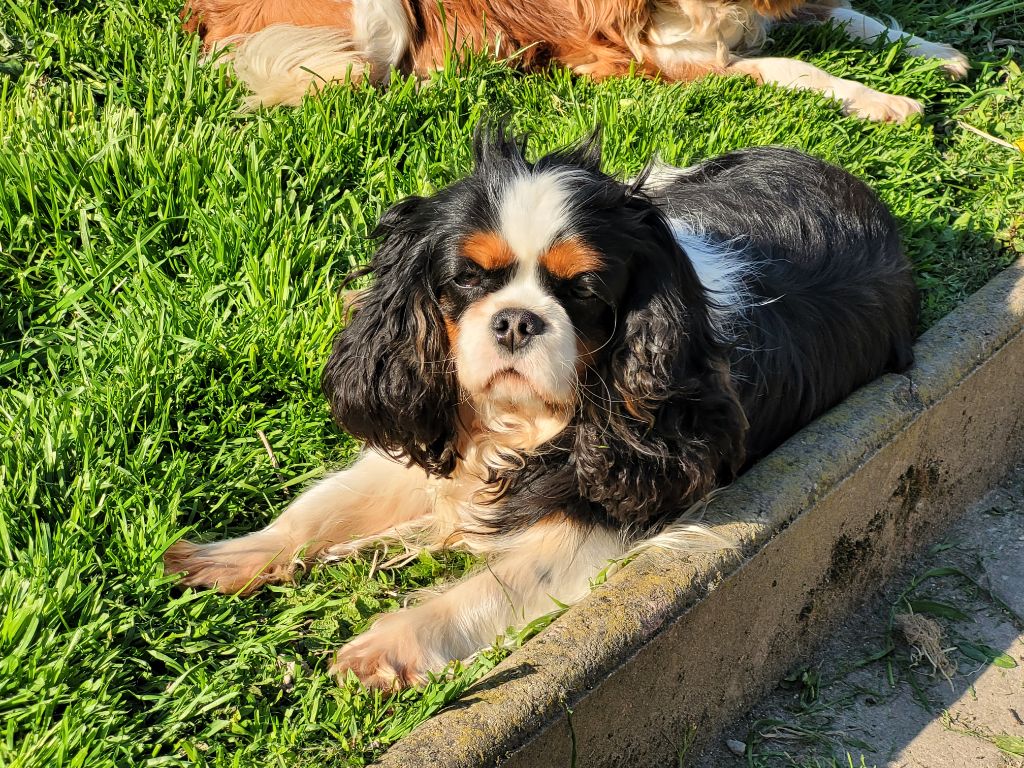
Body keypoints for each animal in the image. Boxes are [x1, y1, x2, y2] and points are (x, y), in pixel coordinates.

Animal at [163, 129, 917, 688]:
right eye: (468, 278)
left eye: (583, 288)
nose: (517, 320)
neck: (527, 419)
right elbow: (323, 506)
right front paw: (232, 555)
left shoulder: (616, 509)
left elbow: (495, 584)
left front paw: (388, 645)